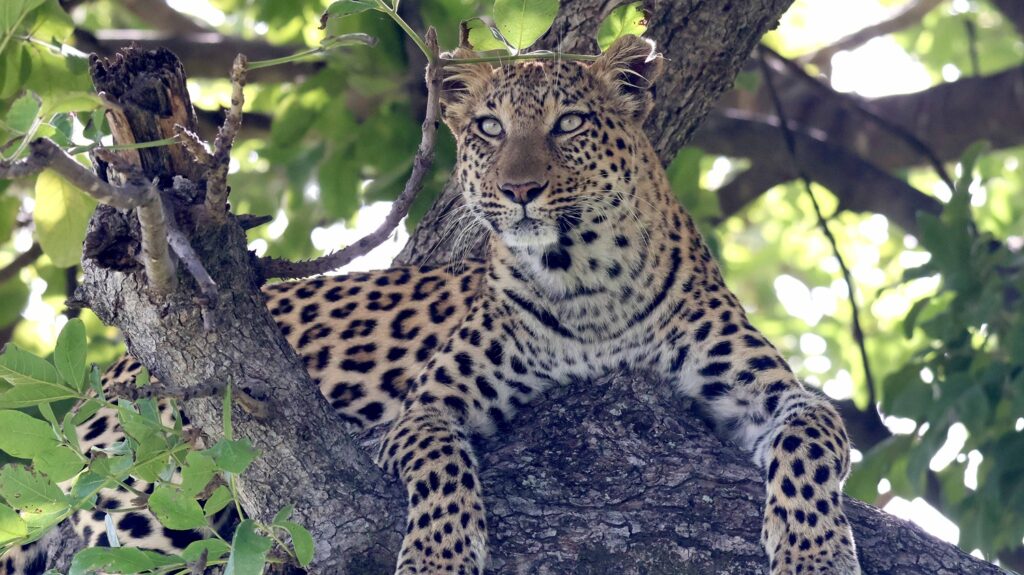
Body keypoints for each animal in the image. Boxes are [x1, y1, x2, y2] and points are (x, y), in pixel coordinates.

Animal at [2, 35, 860, 575]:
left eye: (570, 124)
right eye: (488, 128)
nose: (520, 189)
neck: (586, 280)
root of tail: (99, 386)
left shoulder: (771, 391)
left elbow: (815, 437)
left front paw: (816, 549)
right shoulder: (427, 408)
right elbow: (442, 463)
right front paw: (437, 555)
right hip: (147, 481)